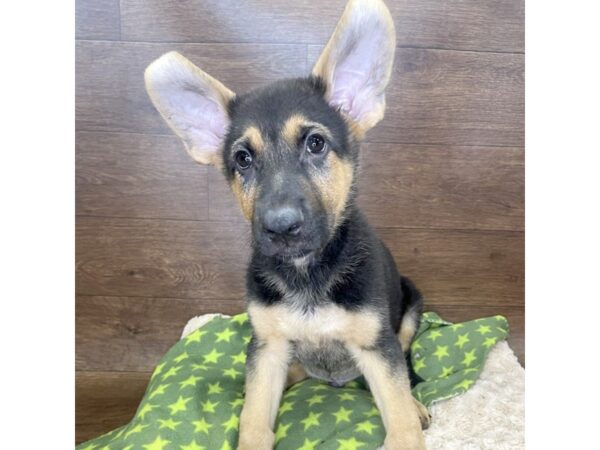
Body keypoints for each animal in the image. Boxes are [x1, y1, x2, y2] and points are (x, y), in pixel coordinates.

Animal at [147, 0, 432, 450]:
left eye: (315, 143)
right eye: (242, 159)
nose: (281, 228)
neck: (306, 274)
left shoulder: (376, 346)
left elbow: (400, 416)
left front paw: (408, 419)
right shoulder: (268, 347)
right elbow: (253, 418)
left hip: (409, 306)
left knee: (405, 362)